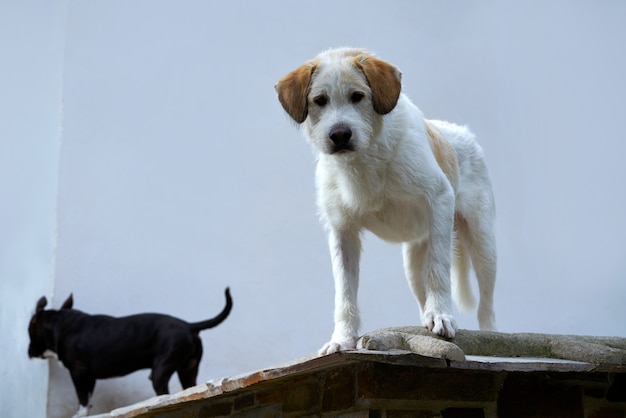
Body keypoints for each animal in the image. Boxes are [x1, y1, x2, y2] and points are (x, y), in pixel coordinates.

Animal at [27, 288, 232, 414]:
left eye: (29, 330)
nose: (28, 352)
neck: (61, 323)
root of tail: (188, 325)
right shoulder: (89, 377)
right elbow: (88, 400)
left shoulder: (78, 373)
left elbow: (82, 400)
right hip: (188, 370)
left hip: (159, 374)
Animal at [276, 49, 494, 356]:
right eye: (320, 100)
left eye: (358, 96)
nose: (340, 134)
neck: (364, 160)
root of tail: (463, 132)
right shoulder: (342, 233)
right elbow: (345, 294)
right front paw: (342, 338)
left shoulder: (439, 198)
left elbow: (439, 268)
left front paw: (441, 315)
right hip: (413, 262)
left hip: (483, 245)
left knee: (487, 306)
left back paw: (490, 335)